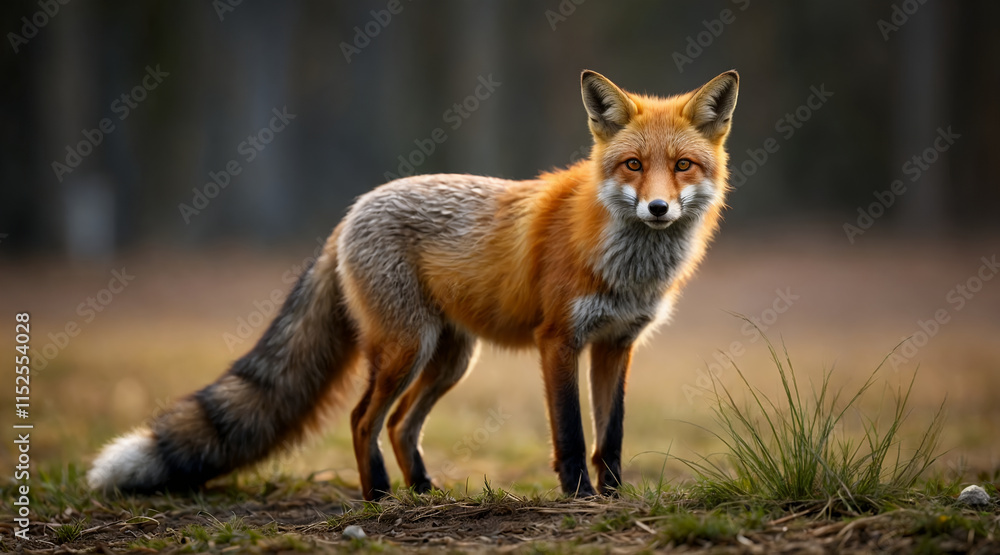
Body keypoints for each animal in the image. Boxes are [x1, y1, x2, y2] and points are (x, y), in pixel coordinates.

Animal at [88, 69, 739, 500]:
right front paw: (579, 497)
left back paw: (424, 491)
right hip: (407, 347)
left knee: (401, 425)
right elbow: (573, 434)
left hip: (450, 359)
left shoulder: (615, 344)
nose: (658, 208)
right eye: (633, 165)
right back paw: (377, 495)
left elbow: (613, 434)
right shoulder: (559, 340)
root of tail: (352, 210)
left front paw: (614, 496)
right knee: (363, 420)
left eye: (683, 166)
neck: (626, 263)